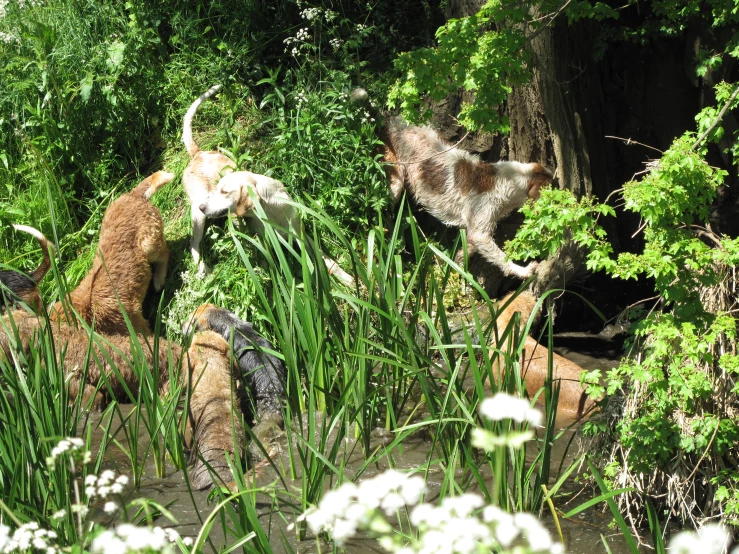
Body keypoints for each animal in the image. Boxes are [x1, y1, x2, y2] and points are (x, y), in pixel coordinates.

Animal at [382, 117, 548, 280]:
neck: (505, 179)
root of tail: (393, 122)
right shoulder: (481, 231)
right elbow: (501, 258)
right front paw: (524, 271)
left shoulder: (475, 229)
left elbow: (465, 251)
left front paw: (456, 270)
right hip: (395, 182)